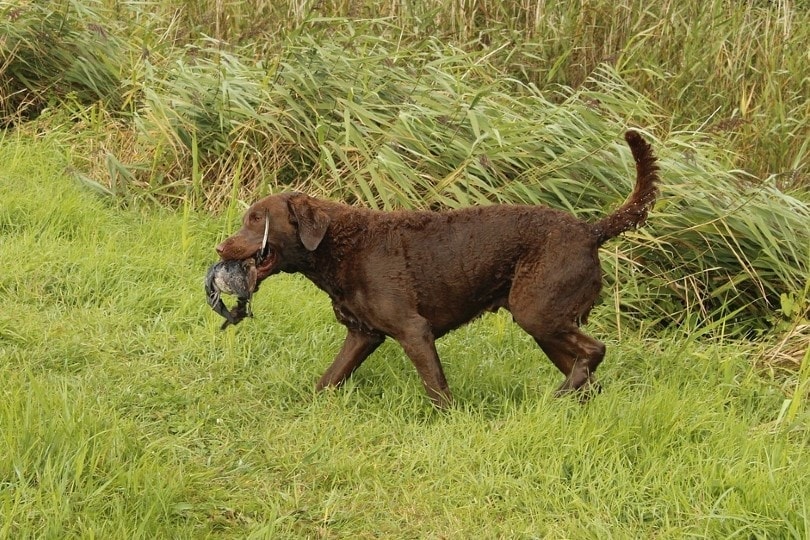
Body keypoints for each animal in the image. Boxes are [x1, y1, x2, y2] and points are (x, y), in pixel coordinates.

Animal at [215, 130, 656, 404]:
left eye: (256, 219)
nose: (220, 247)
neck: (340, 244)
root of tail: (590, 230)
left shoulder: (414, 331)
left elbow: (438, 390)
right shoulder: (362, 334)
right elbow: (329, 379)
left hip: (538, 313)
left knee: (596, 351)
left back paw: (560, 396)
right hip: (546, 324)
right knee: (588, 373)